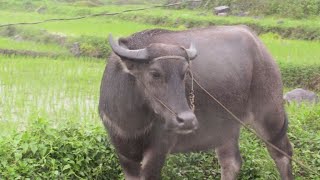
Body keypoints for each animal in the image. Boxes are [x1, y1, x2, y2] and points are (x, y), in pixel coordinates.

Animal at [99, 26, 294, 179]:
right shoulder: (123, 153)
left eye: (185, 73)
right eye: (154, 73)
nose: (187, 120)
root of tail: (261, 48)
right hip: (226, 127)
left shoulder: (158, 151)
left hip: (271, 115)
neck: (132, 120)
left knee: (283, 154)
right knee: (231, 162)